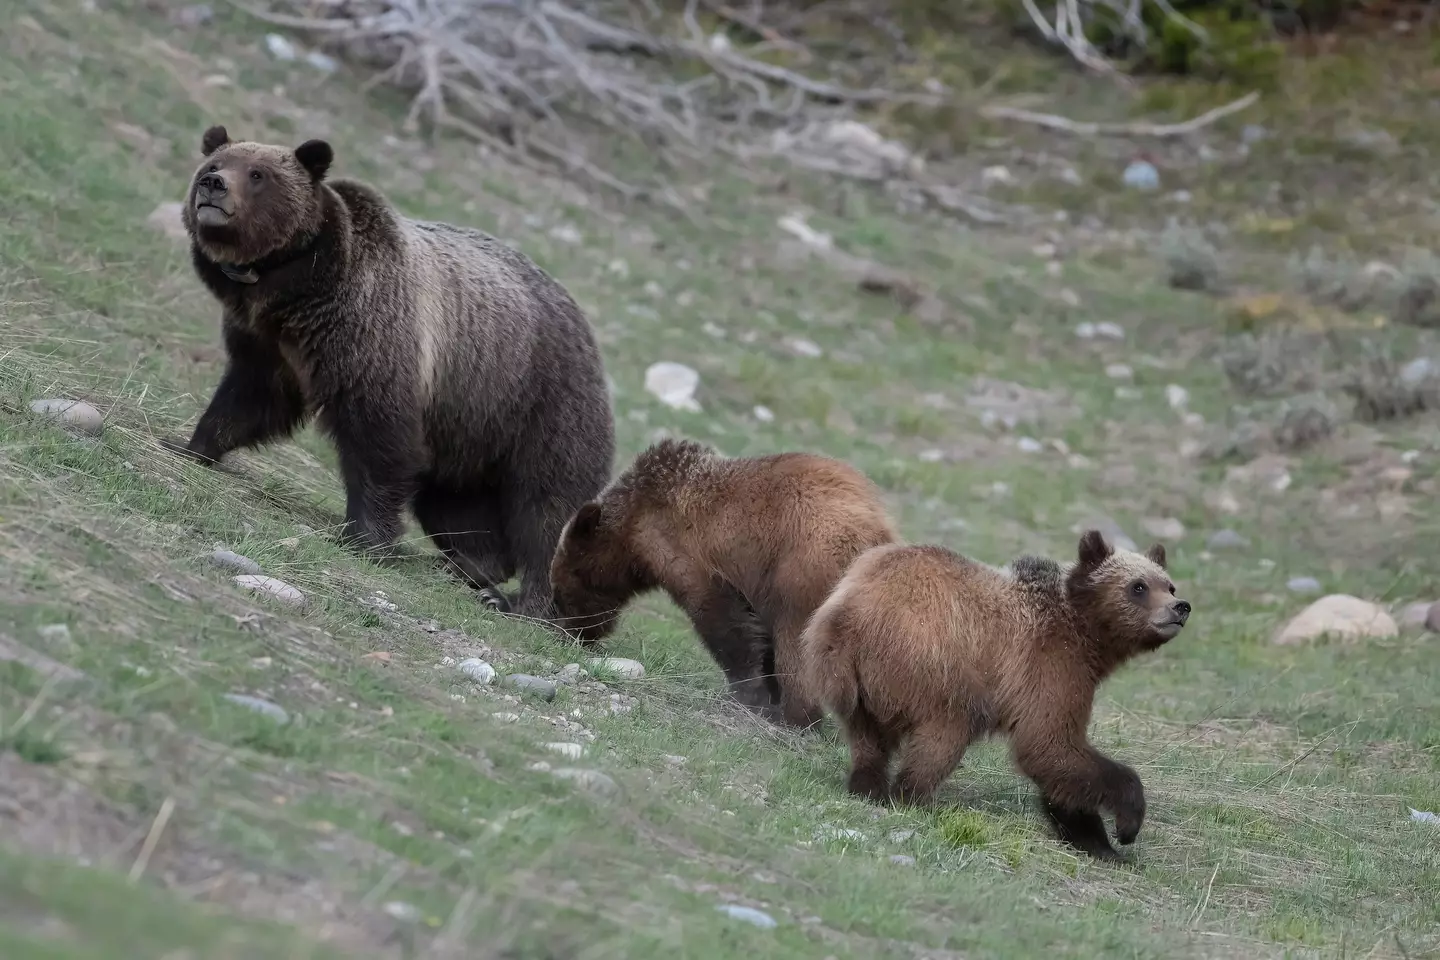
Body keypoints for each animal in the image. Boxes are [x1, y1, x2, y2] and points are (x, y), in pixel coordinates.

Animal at [162, 125, 615, 621]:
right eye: (214, 163)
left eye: (258, 173)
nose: (213, 186)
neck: (292, 290)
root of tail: (585, 324)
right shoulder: (270, 345)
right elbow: (248, 400)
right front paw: (189, 444)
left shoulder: (372, 333)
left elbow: (378, 439)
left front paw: (365, 536)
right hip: (468, 429)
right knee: (456, 505)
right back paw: (466, 566)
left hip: (539, 403)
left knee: (545, 510)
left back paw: (521, 602)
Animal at [547, 437, 899, 727]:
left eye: (561, 591)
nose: (571, 634)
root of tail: (876, 535)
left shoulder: (694, 558)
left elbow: (724, 624)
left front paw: (750, 694)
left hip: (805, 569)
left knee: (796, 641)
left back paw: (798, 716)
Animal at [799, 530, 1192, 860]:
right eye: (1138, 586)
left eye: (1169, 585)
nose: (1180, 608)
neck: (1085, 634)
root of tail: (846, 614)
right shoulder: (1050, 667)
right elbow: (1050, 745)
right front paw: (1125, 825)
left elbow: (1058, 770)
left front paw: (1094, 839)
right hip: (935, 664)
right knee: (945, 734)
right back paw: (915, 797)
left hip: (861, 685)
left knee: (868, 738)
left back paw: (867, 786)